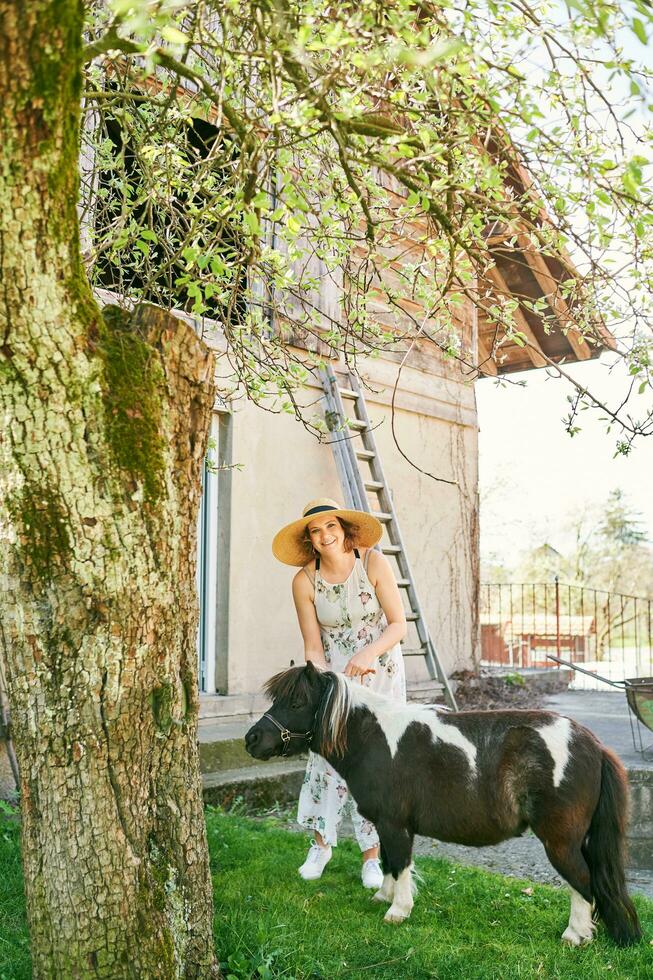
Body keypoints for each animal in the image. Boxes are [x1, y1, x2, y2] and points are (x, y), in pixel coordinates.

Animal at [246, 664, 640, 944]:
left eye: (297, 702)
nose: (252, 739)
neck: (374, 739)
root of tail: (592, 744)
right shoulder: (387, 825)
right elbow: (388, 862)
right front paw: (383, 897)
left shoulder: (395, 824)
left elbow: (400, 864)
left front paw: (399, 910)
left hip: (560, 841)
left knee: (583, 881)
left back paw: (575, 935)